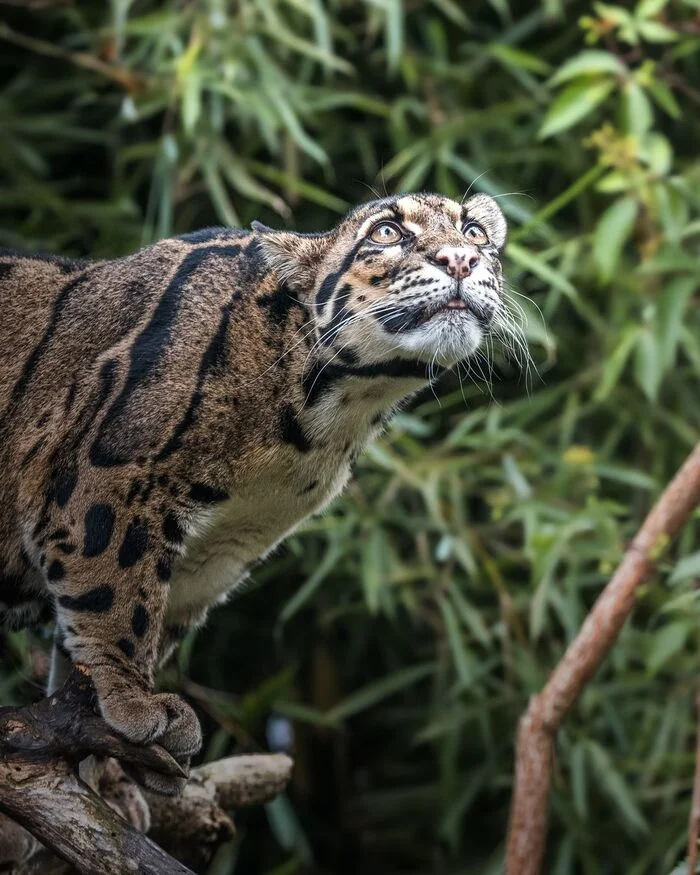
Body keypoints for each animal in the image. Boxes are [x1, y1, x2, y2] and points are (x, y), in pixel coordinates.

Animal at [0, 192, 516, 792]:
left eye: (475, 232)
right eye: (386, 231)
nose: (461, 259)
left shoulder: (220, 549)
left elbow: (111, 628)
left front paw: (105, 770)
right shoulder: (106, 478)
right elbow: (113, 591)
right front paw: (132, 695)